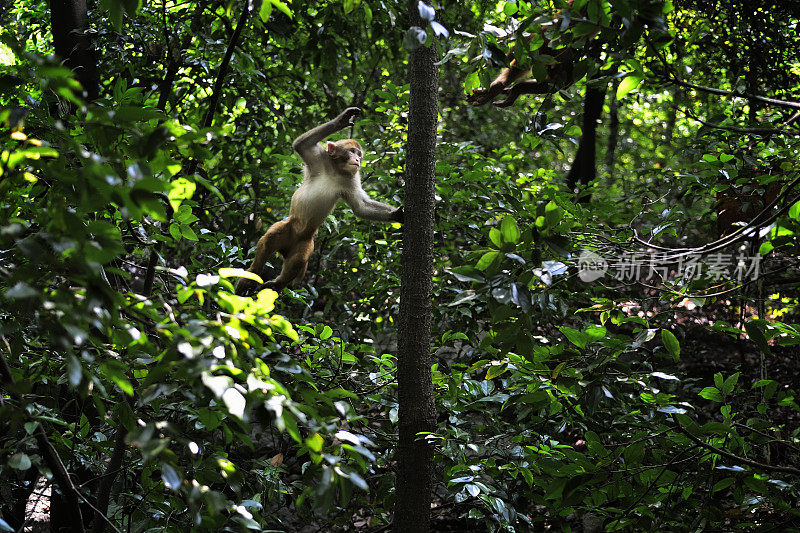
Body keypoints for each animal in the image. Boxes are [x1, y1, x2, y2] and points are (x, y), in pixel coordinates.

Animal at [234, 105, 404, 294]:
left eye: (359, 154)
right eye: (352, 151)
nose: (358, 159)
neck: (337, 170)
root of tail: (286, 248)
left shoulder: (351, 179)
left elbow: (360, 207)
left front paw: (397, 215)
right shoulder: (318, 158)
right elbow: (301, 145)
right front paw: (342, 120)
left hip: (305, 243)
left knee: (298, 260)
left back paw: (278, 284)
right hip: (288, 228)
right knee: (270, 239)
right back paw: (251, 275)